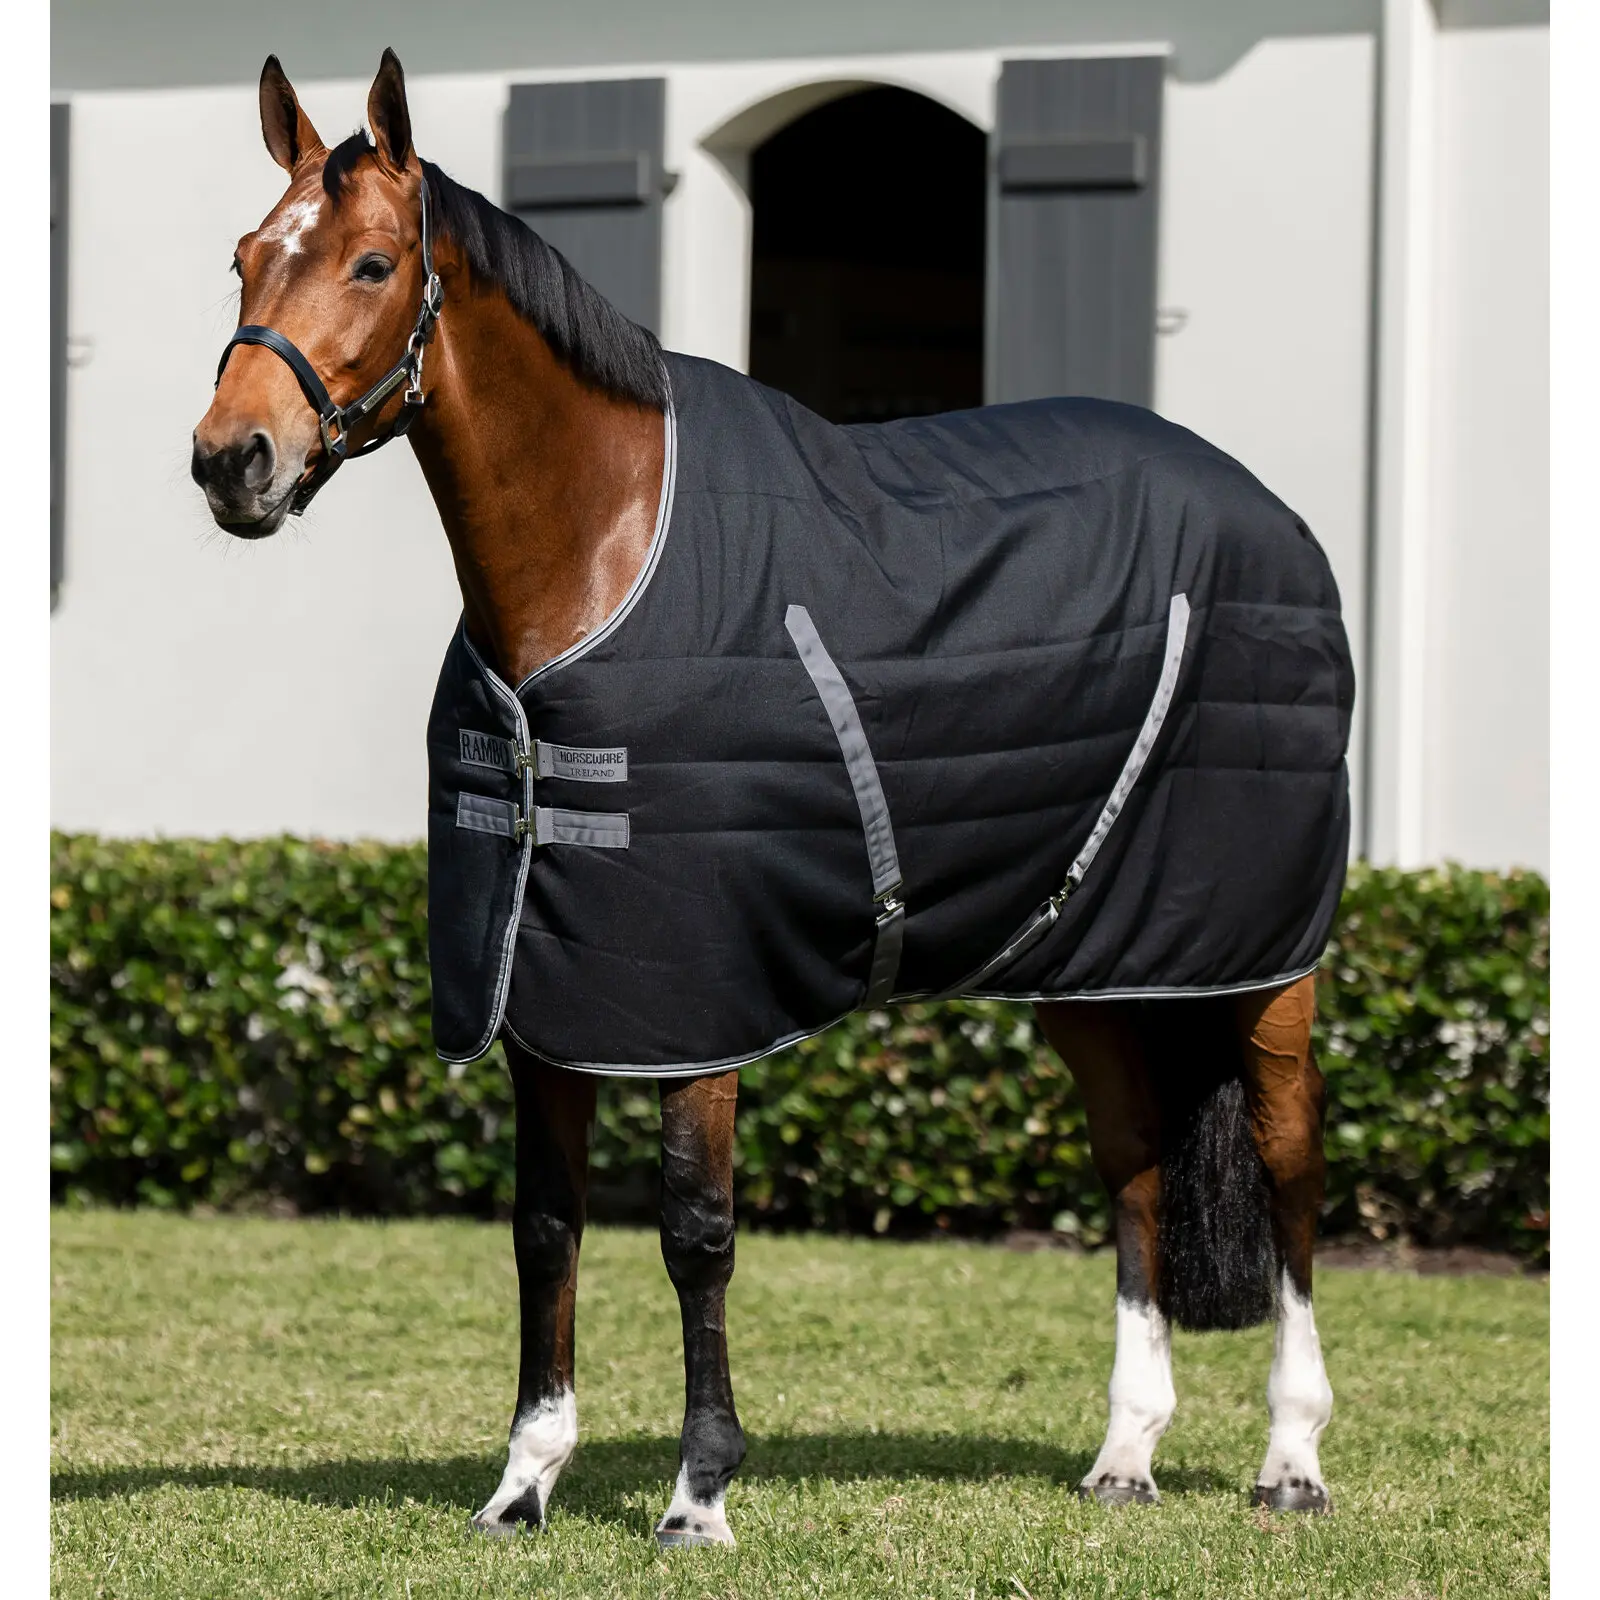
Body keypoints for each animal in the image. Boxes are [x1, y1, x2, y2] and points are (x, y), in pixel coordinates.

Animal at [191, 49, 1349, 1547]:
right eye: (242, 259)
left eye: (374, 263)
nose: (233, 460)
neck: (601, 554)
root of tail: (1274, 515)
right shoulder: (543, 991)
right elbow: (545, 1228)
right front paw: (524, 1481)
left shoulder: (696, 999)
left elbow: (696, 1234)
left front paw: (698, 1494)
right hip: (1093, 963)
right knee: (1140, 1162)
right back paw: (1127, 1453)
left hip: (1266, 959)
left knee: (1289, 1165)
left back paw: (1293, 1458)